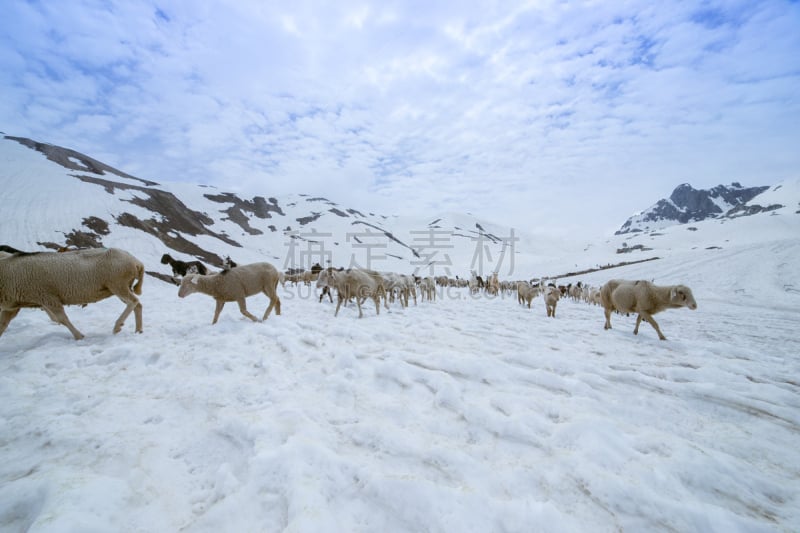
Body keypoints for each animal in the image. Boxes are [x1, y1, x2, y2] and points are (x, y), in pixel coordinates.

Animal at [0, 247, 144, 338]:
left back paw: (118, 326)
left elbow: (62, 319)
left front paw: (79, 336)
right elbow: (2, 325)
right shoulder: (12, 306)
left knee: (133, 301)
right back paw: (138, 330)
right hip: (120, 287)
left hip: (118, 285)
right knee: (137, 305)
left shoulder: (48, 297)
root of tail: (136, 262)